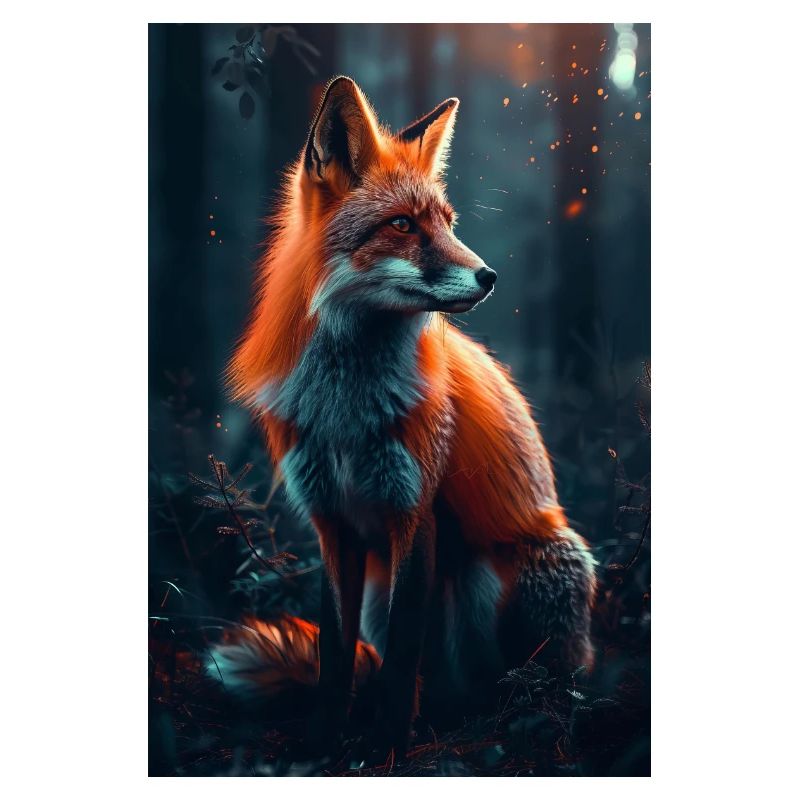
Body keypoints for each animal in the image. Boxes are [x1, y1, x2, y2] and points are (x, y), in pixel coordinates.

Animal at [211, 76, 597, 758]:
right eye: (401, 225)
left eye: (447, 223)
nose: (489, 276)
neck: (346, 408)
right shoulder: (331, 522)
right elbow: (335, 657)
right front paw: (325, 741)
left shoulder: (414, 513)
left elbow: (400, 656)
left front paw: (385, 746)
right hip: (380, 587)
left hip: (506, 575)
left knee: (519, 683)